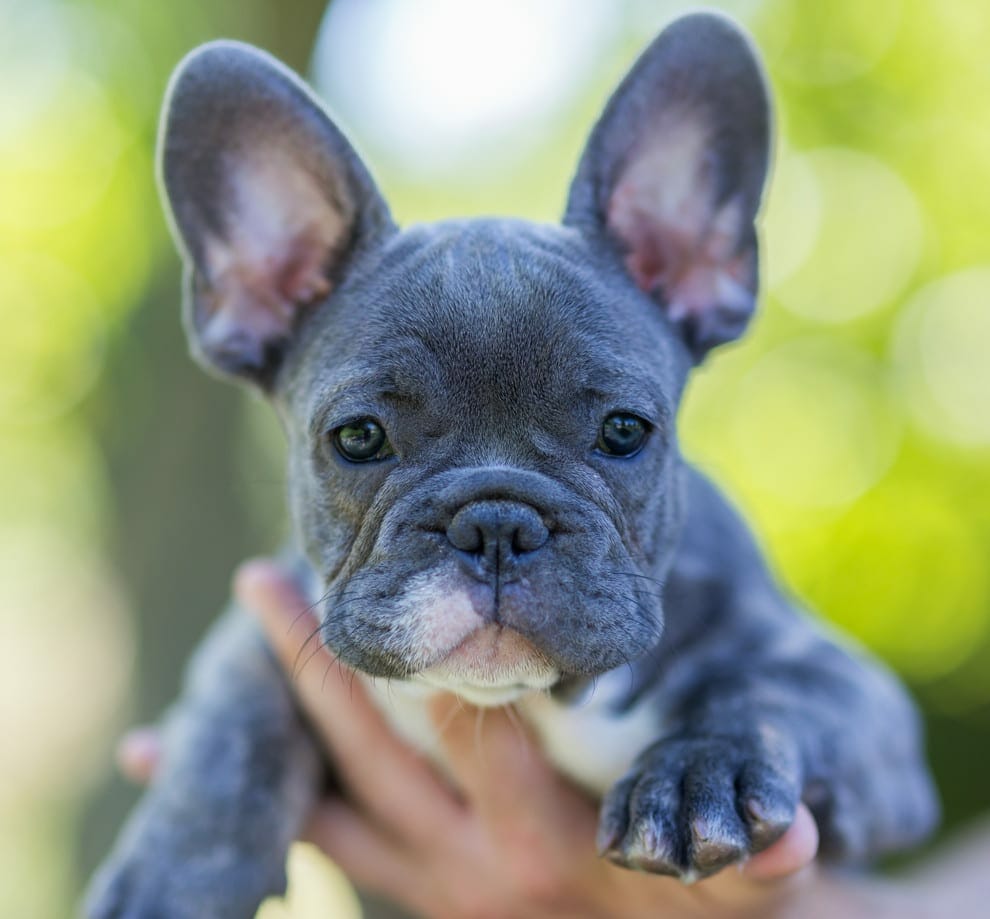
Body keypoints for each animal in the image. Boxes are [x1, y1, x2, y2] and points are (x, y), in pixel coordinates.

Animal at [85, 14, 936, 919]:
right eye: (359, 437)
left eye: (624, 431)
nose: (496, 524)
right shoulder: (267, 623)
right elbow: (229, 719)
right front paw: (172, 872)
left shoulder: (859, 700)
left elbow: (773, 691)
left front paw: (699, 773)